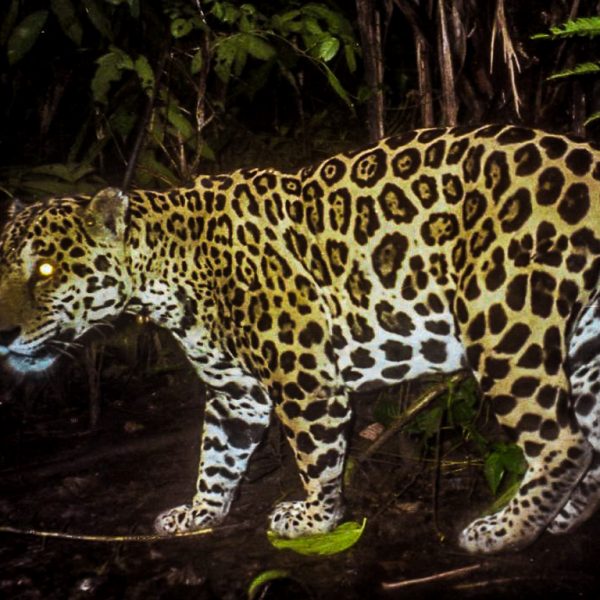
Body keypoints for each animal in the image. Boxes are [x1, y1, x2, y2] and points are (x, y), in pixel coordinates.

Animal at [0, 124, 599, 554]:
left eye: (46, 269)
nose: (3, 334)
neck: (165, 270)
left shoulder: (306, 381)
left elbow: (316, 456)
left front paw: (314, 520)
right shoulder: (235, 395)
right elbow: (216, 458)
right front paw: (200, 514)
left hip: (502, 322)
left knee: (564, 443)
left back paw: (505, 531)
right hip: (586, 346)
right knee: (591, 438)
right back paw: (566, 516)